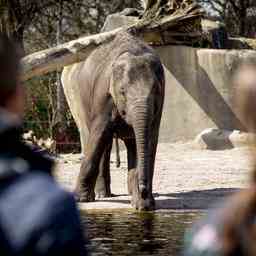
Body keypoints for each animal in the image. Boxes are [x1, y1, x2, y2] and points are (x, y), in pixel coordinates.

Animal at [62, 31, 166, 211]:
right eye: (122, 91)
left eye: (156, 90)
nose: (144, 189)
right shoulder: (103, 94)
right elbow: (99, 134)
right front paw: (80, 199)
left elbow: (150, 139)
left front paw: (144, 205)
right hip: (75, 98)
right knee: (96, 139)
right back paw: (102, 195)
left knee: (130, 143)